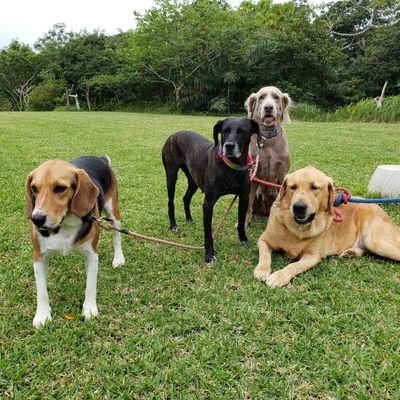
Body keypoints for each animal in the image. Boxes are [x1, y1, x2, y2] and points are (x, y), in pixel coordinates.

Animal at [162, 118, 260, 262]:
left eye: (242, 131)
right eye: (224, 131)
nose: (229, 146)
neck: (231, 166)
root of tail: (173, 135)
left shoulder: (244, 198)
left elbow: (241, 222)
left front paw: (243, 239)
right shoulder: (209, 203)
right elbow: (208, 233)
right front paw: (209, 254)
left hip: (193, 181)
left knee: (186, 198)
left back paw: (189, 219)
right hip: (171, 176)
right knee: (170, 202)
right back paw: (173, 225)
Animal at [244, 85, 290, 225]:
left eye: (276, 97)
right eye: (261, 97)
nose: (268, 107)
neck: (268, 138)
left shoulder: (282, 175)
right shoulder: (253, 174)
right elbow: (248, 204)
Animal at [255, 166, 400, 288]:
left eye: (314, 187)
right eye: (293, 187)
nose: (299, 207)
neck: (297, 229)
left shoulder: (312, 256)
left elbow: (293, 266)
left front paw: (279, 276)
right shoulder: (263, 241)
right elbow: (265, 256)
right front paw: (262, 270)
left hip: (375, 241)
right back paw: (351, 253)